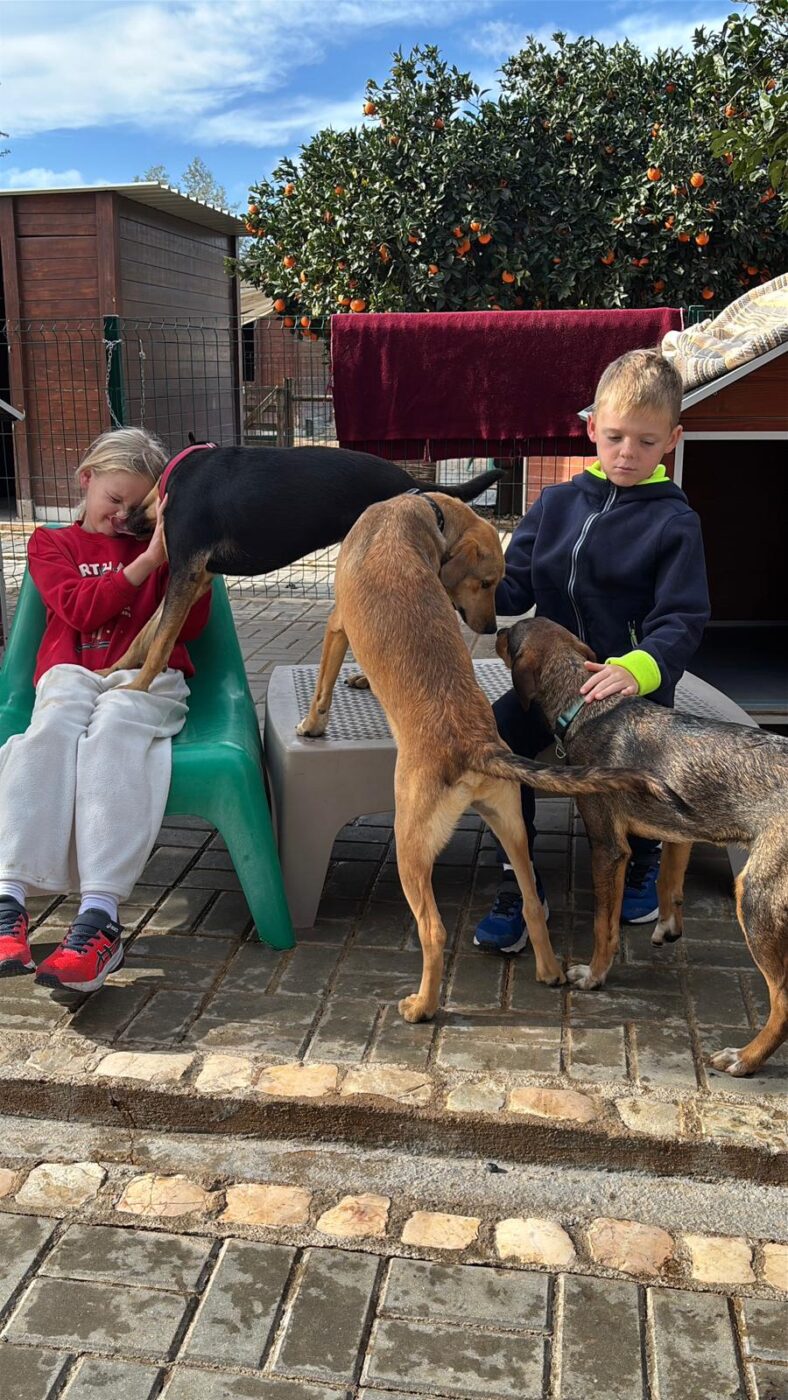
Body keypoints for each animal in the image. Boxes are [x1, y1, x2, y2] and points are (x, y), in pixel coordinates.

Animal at [103, 444, 502, 691]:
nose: (125, 520)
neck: (176, 476)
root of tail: (412, 482)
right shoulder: (195, 580)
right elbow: (146, 635)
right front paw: (113, 672)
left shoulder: (185, 573)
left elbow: (159, 642)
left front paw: (137, 689)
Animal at [296, 493, 686, 1024]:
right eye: (490, 582)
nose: (488, 627)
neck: (419, 512)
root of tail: (476, 745)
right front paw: (360, 680)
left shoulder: (337, 624)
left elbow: (323, 686)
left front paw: (312, 724)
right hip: (512, 827)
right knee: (531, 902)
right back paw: (548, 971)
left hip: (410, 845)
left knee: (433, 931)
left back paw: (422, 1006)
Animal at [498, 615, 788, 1077]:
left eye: (509, 636)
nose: (493, 630)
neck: (587, 708)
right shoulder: (680, 829)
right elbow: (668, 879)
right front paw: (668, 925)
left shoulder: (608, 845)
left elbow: (604, 926)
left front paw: (594, 976)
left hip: (756, 899)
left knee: (783, 1003)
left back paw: (745, 1058)